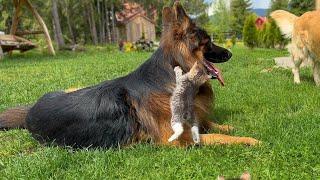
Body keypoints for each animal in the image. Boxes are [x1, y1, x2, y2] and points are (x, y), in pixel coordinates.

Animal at [0, 3, 258, 148]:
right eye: (209, 42)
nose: (231, 53)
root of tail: (31, 110)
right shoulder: (177, 138)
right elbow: (218, 137)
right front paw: (249, 140)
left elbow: (211, 125)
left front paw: (229, 126)